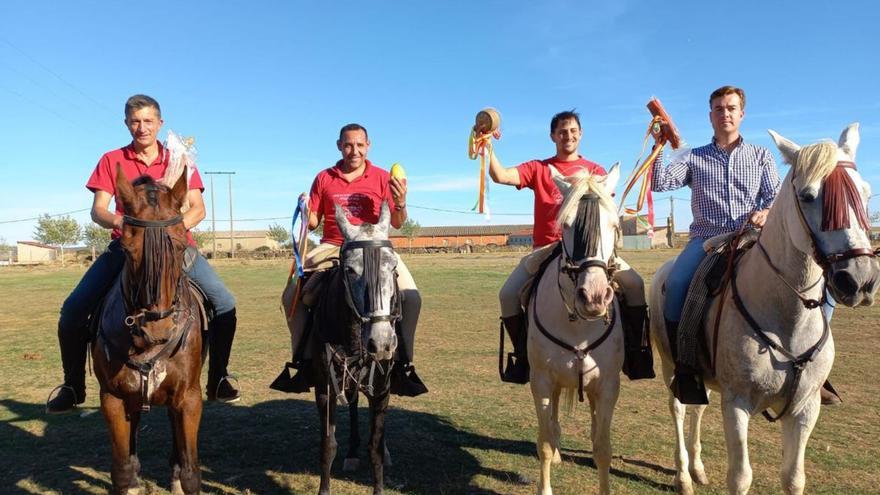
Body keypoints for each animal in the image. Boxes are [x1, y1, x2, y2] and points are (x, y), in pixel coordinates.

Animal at [92, 167, 206, 495]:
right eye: (128, 249)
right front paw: (130, 480)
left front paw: (181, 477)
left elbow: (192, 472)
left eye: (180, 246)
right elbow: (121, 469)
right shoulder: (112, 399)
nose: (159, 329)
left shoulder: (189, 398)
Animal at [524, 166, 624, 495]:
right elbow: (544, 441)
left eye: (614, 224)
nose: (593, 297)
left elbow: (603, 446)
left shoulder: (608, 385)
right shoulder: (541, 381)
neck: (578, 326)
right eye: (566, 225)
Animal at [648, 122, 880, 494]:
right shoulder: (737, 404)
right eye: (808, 196)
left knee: (697, 409)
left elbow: (794, 478)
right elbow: (741, 476)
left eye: (865, 191)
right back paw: (684, 476)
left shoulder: (805, 409)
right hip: (672, 367)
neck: (787, 320)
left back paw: (697, 469)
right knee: (679, 409)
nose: (860, 280)